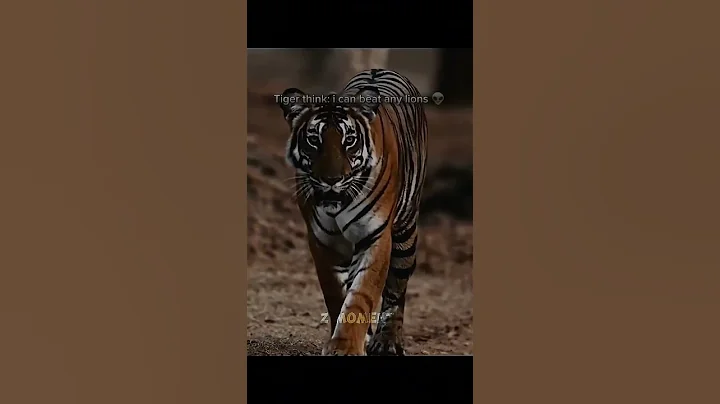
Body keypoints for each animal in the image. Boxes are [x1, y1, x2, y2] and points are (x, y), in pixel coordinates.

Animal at [277, 69, 428, 356]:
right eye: (314, 140)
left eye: (349, 141)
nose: (332, 179)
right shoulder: (322, 242)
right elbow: (336, 294)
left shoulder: (376, 236)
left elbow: (362, 293)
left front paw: (346, 346)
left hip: (406, 233)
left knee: (396, 290)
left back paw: (387, 341)